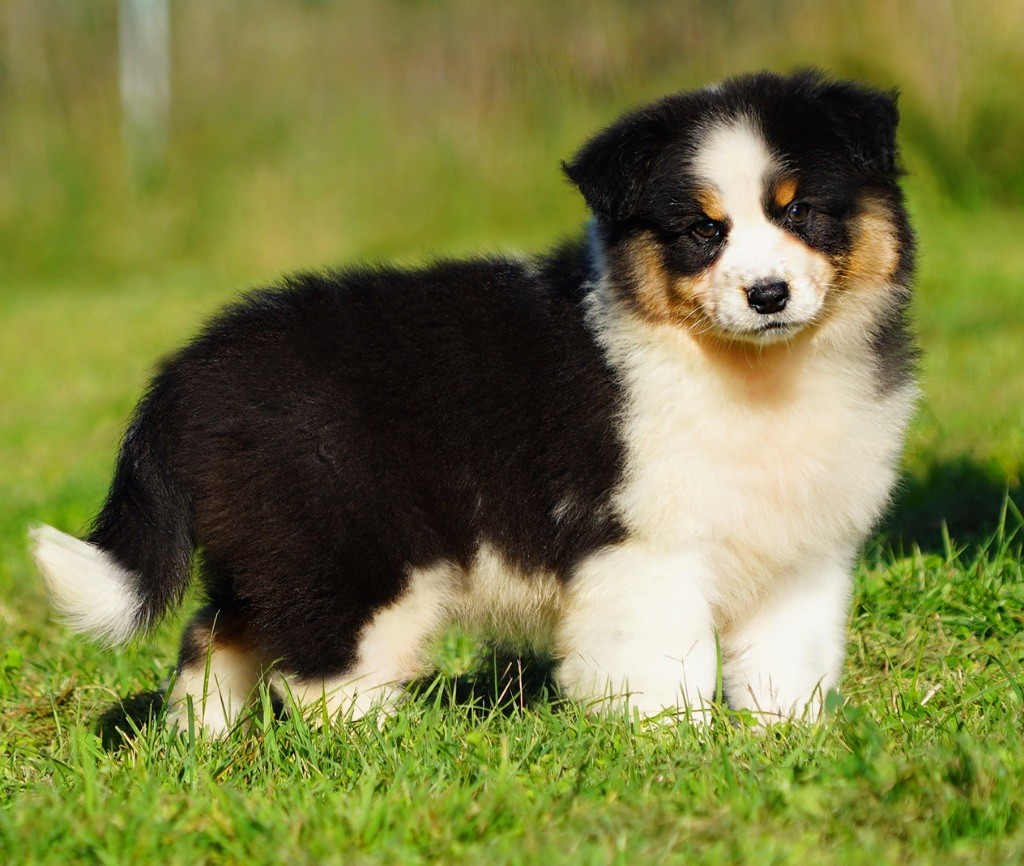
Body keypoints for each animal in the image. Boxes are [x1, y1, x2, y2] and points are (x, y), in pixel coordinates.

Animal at [32, 69, 917, 732]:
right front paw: (672, 746)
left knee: (217, 634)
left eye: (801, 211)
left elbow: (787, 658)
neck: (749, 371)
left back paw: (199, 742)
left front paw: (786, 739)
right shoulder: (645, 546)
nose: (768, 295)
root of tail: (186, 369)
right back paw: (380, 756)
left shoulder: (800, 548)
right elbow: (665, 663)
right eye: (703, 231)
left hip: (274, 545)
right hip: (351, 552)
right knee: (323, 676)